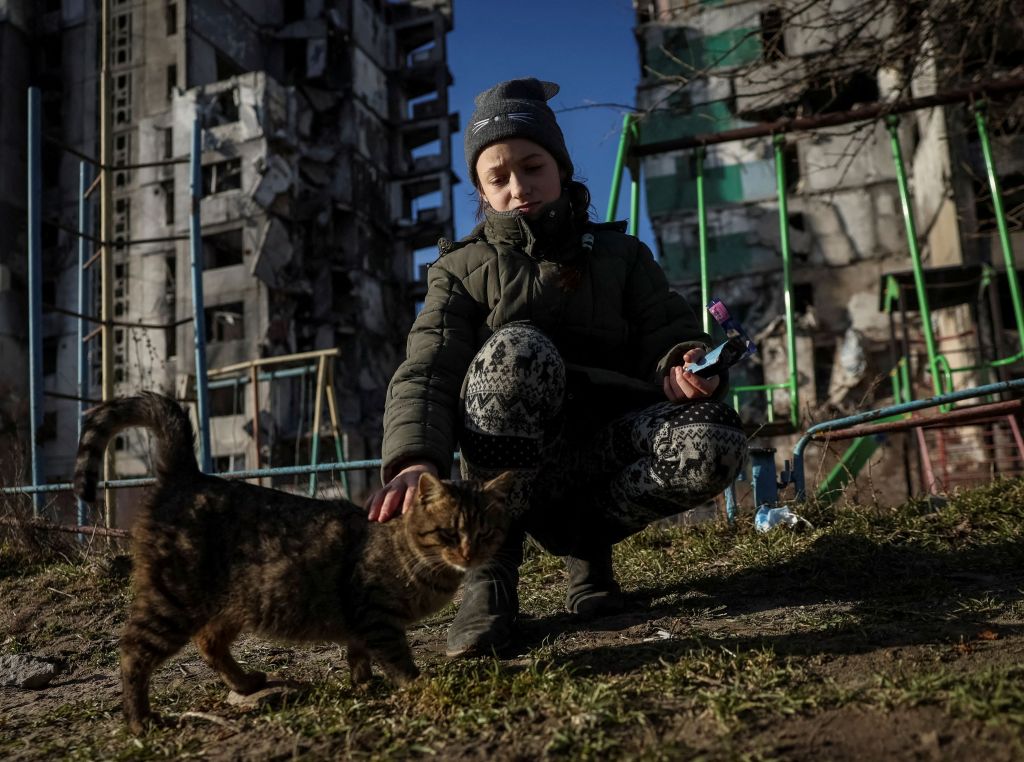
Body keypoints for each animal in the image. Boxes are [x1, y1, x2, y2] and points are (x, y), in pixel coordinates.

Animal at [70, 389, 509, 733]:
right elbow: (397, 658)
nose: (469, 553)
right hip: (172, 602)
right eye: (449, 533)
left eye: (485, 534)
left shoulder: (359, 625)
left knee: (208, 642)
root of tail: (188, 474)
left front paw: (364, 685)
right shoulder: (375, 615)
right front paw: (416, 684)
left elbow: (358, 657)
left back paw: (246, 683)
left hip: (229, 604)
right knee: (132, 652)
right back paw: (140, 720)